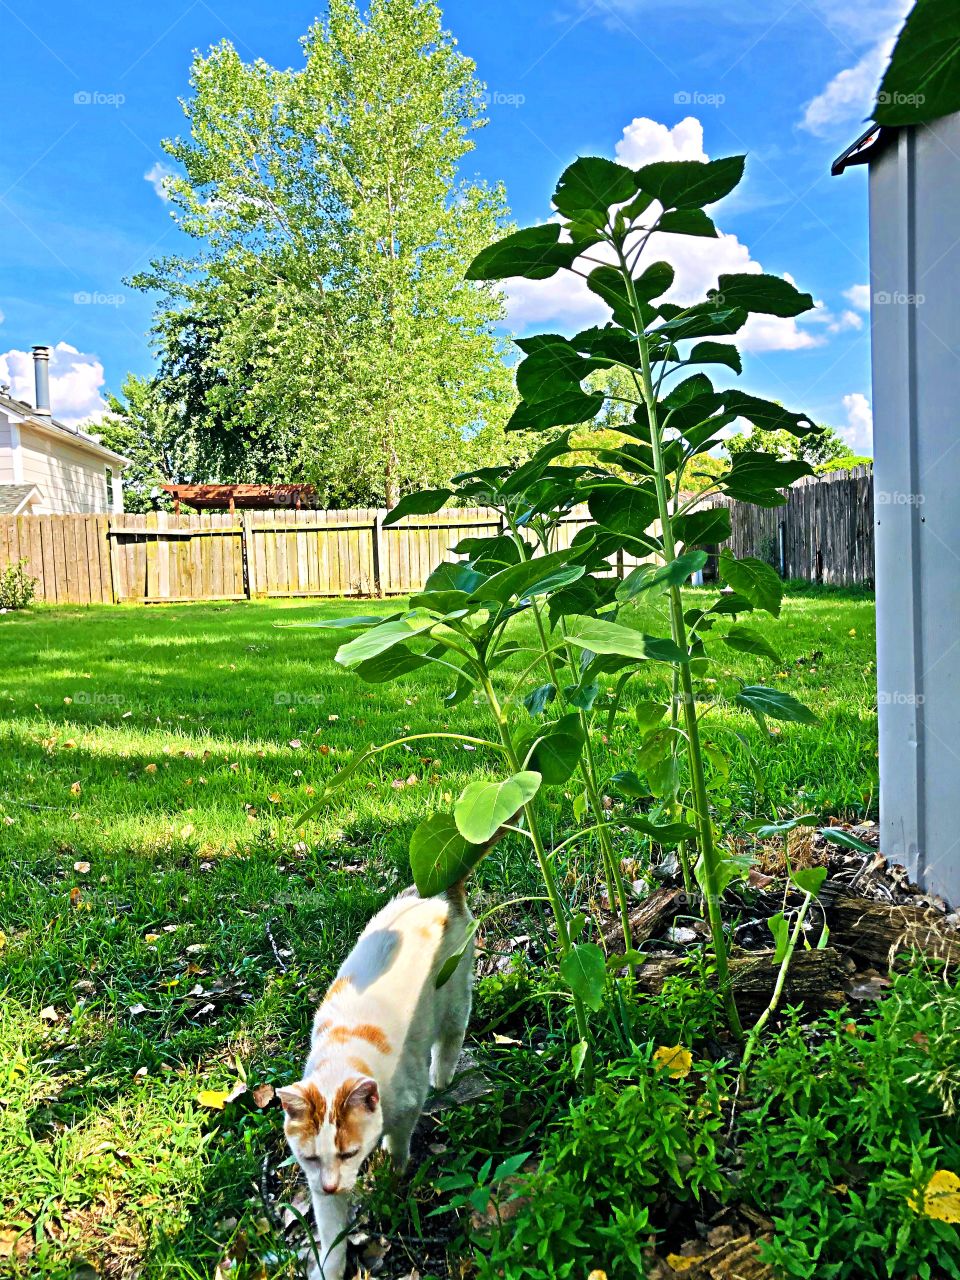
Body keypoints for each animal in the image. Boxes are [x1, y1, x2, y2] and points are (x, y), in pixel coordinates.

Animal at [277, 885, 473, 1274]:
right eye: (311, 1158)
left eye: (348, 1153)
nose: (331, 1187)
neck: (343, 1055)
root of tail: (440, 894)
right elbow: (332, 1235)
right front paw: (330, 1270)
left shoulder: (409, 1102)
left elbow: (399, 1143)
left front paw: (394, 1171)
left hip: (454, 997)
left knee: (451, 1036)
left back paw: (442, 1076)